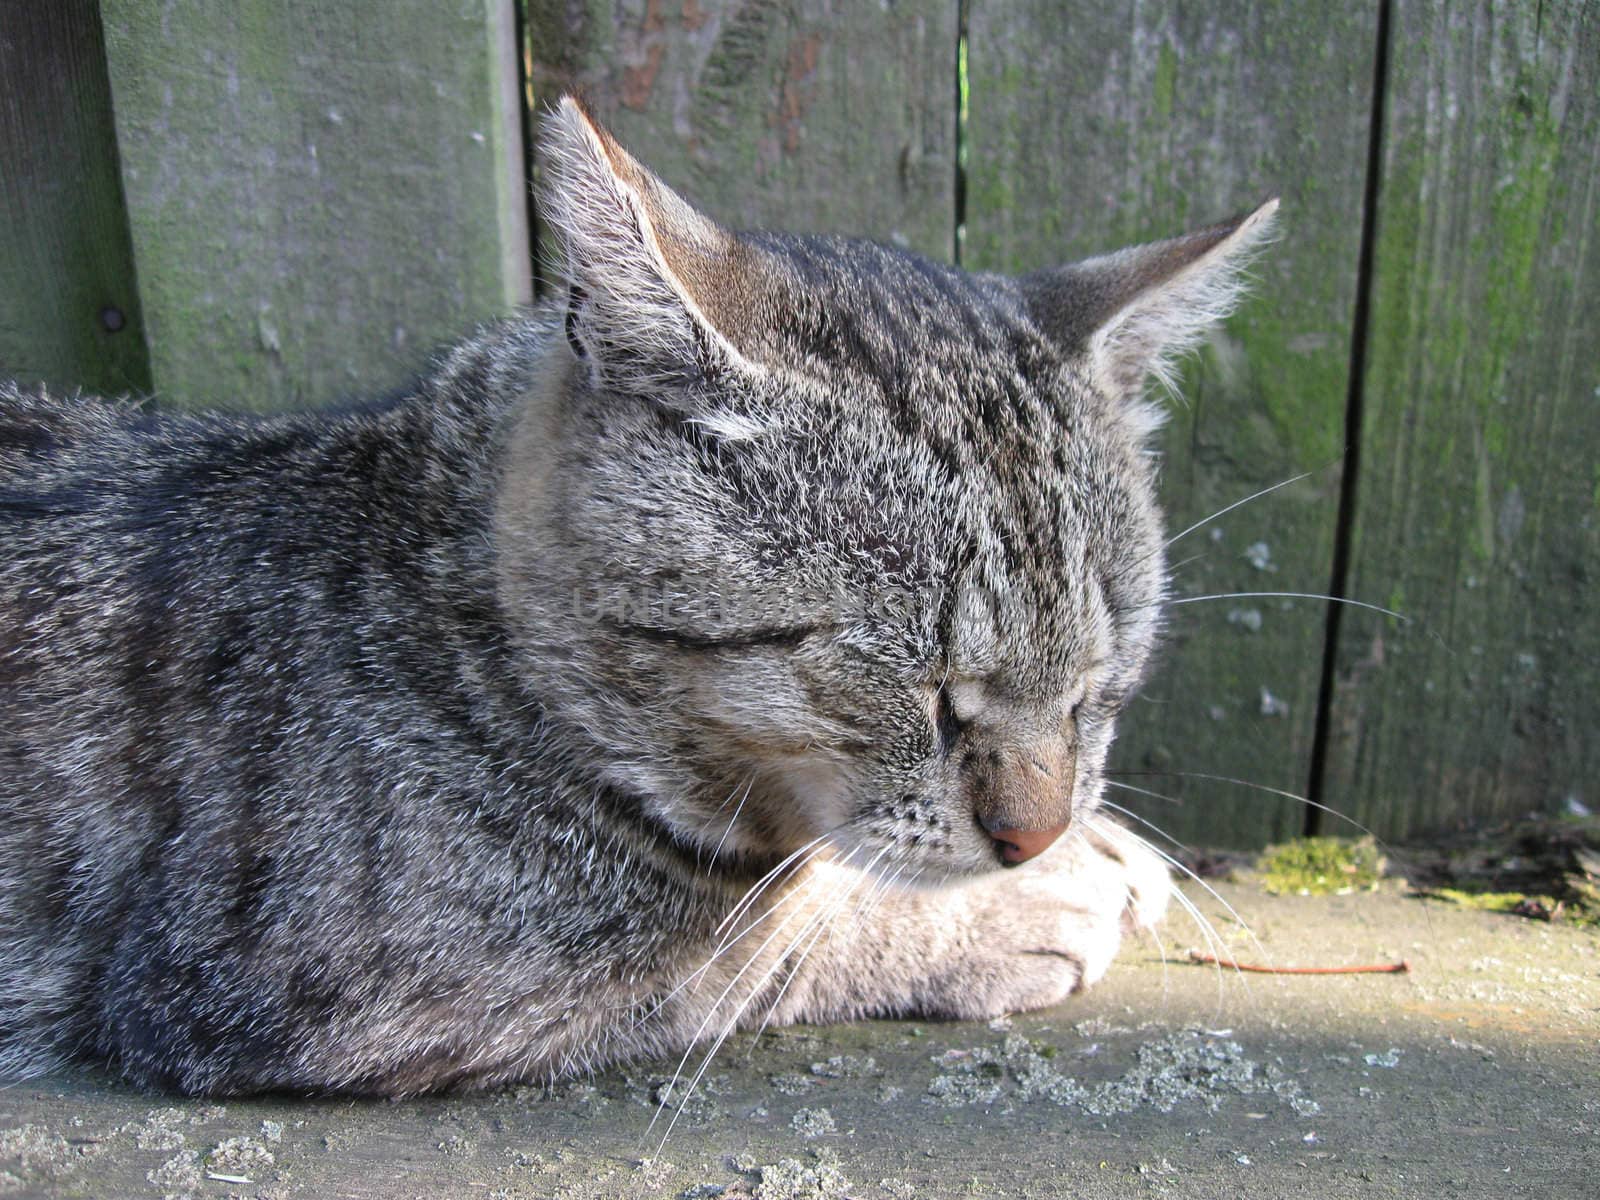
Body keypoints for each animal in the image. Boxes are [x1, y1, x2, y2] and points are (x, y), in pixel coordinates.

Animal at [0, 98, 1273, 1100]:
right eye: (925, 691)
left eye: (1096, 688)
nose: (1031, 834)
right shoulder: (321, 978)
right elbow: (755, 941)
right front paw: (1012, 906)